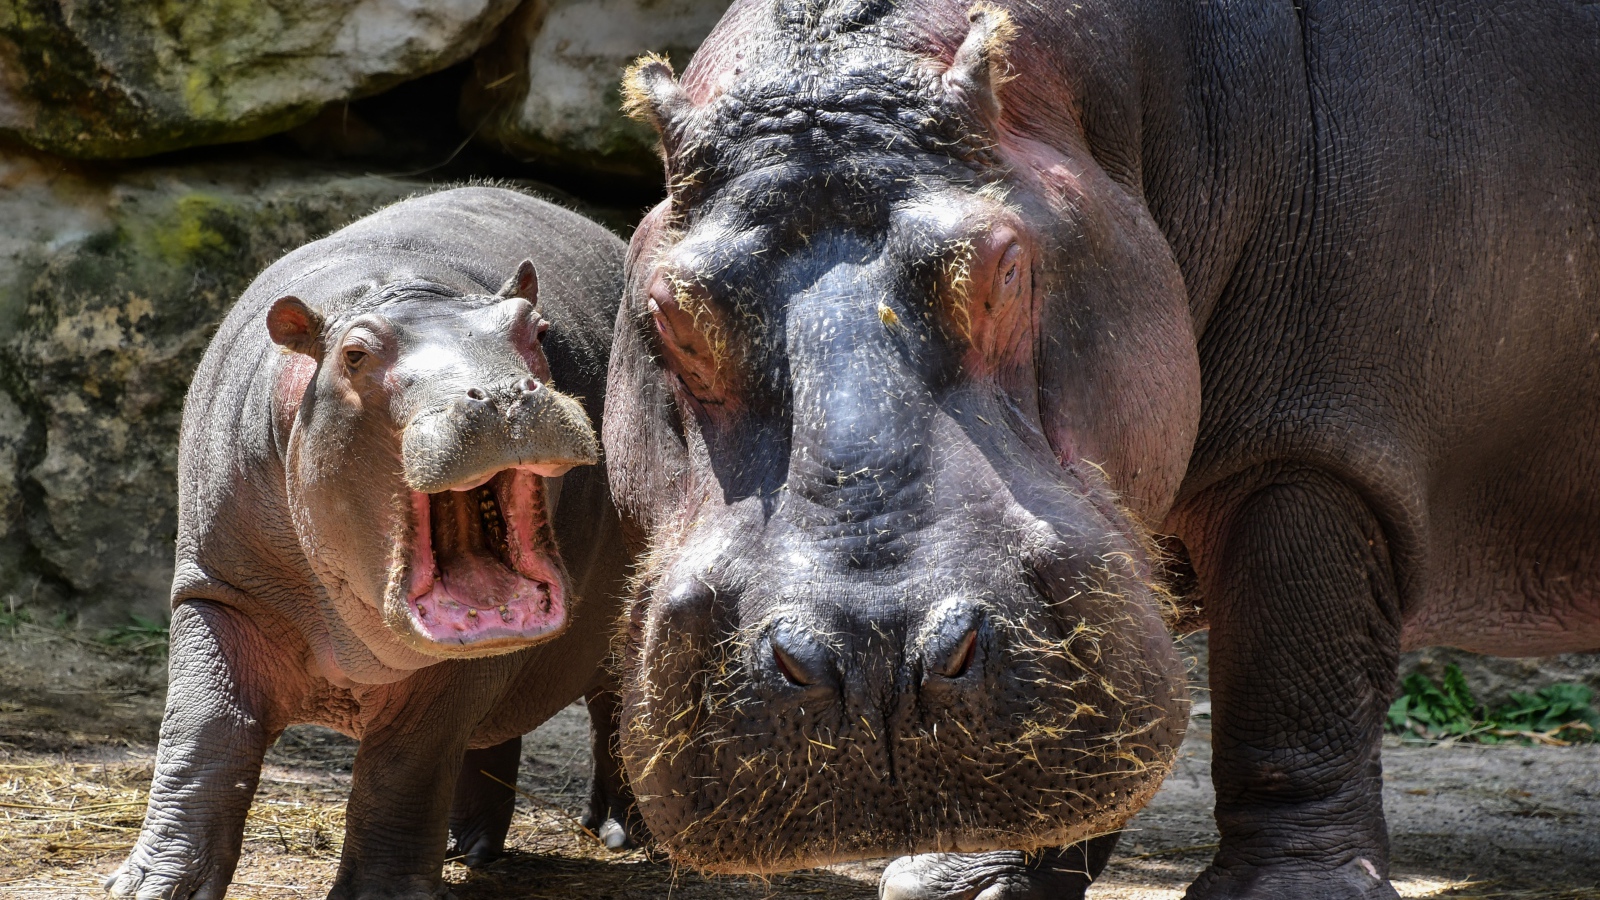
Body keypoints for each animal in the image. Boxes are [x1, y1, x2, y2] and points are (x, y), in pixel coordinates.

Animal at [106, 184, 636, 896]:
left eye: (537, 329)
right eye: (354, 354)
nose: (503, 394)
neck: (400, 289)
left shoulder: (456, 674)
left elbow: (407, 763)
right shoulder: (219, 591)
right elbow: (204, 730)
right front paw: (151, 885)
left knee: (616, 706)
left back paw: (620, 831)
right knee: (494, 737)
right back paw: (466, 848)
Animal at [601, 1, 1600, 896]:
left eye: (1006, 265)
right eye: (670, 310)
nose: (873, 657)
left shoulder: (1315, 444)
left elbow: (1293, 680)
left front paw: (1288, 892)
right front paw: (967, 885)